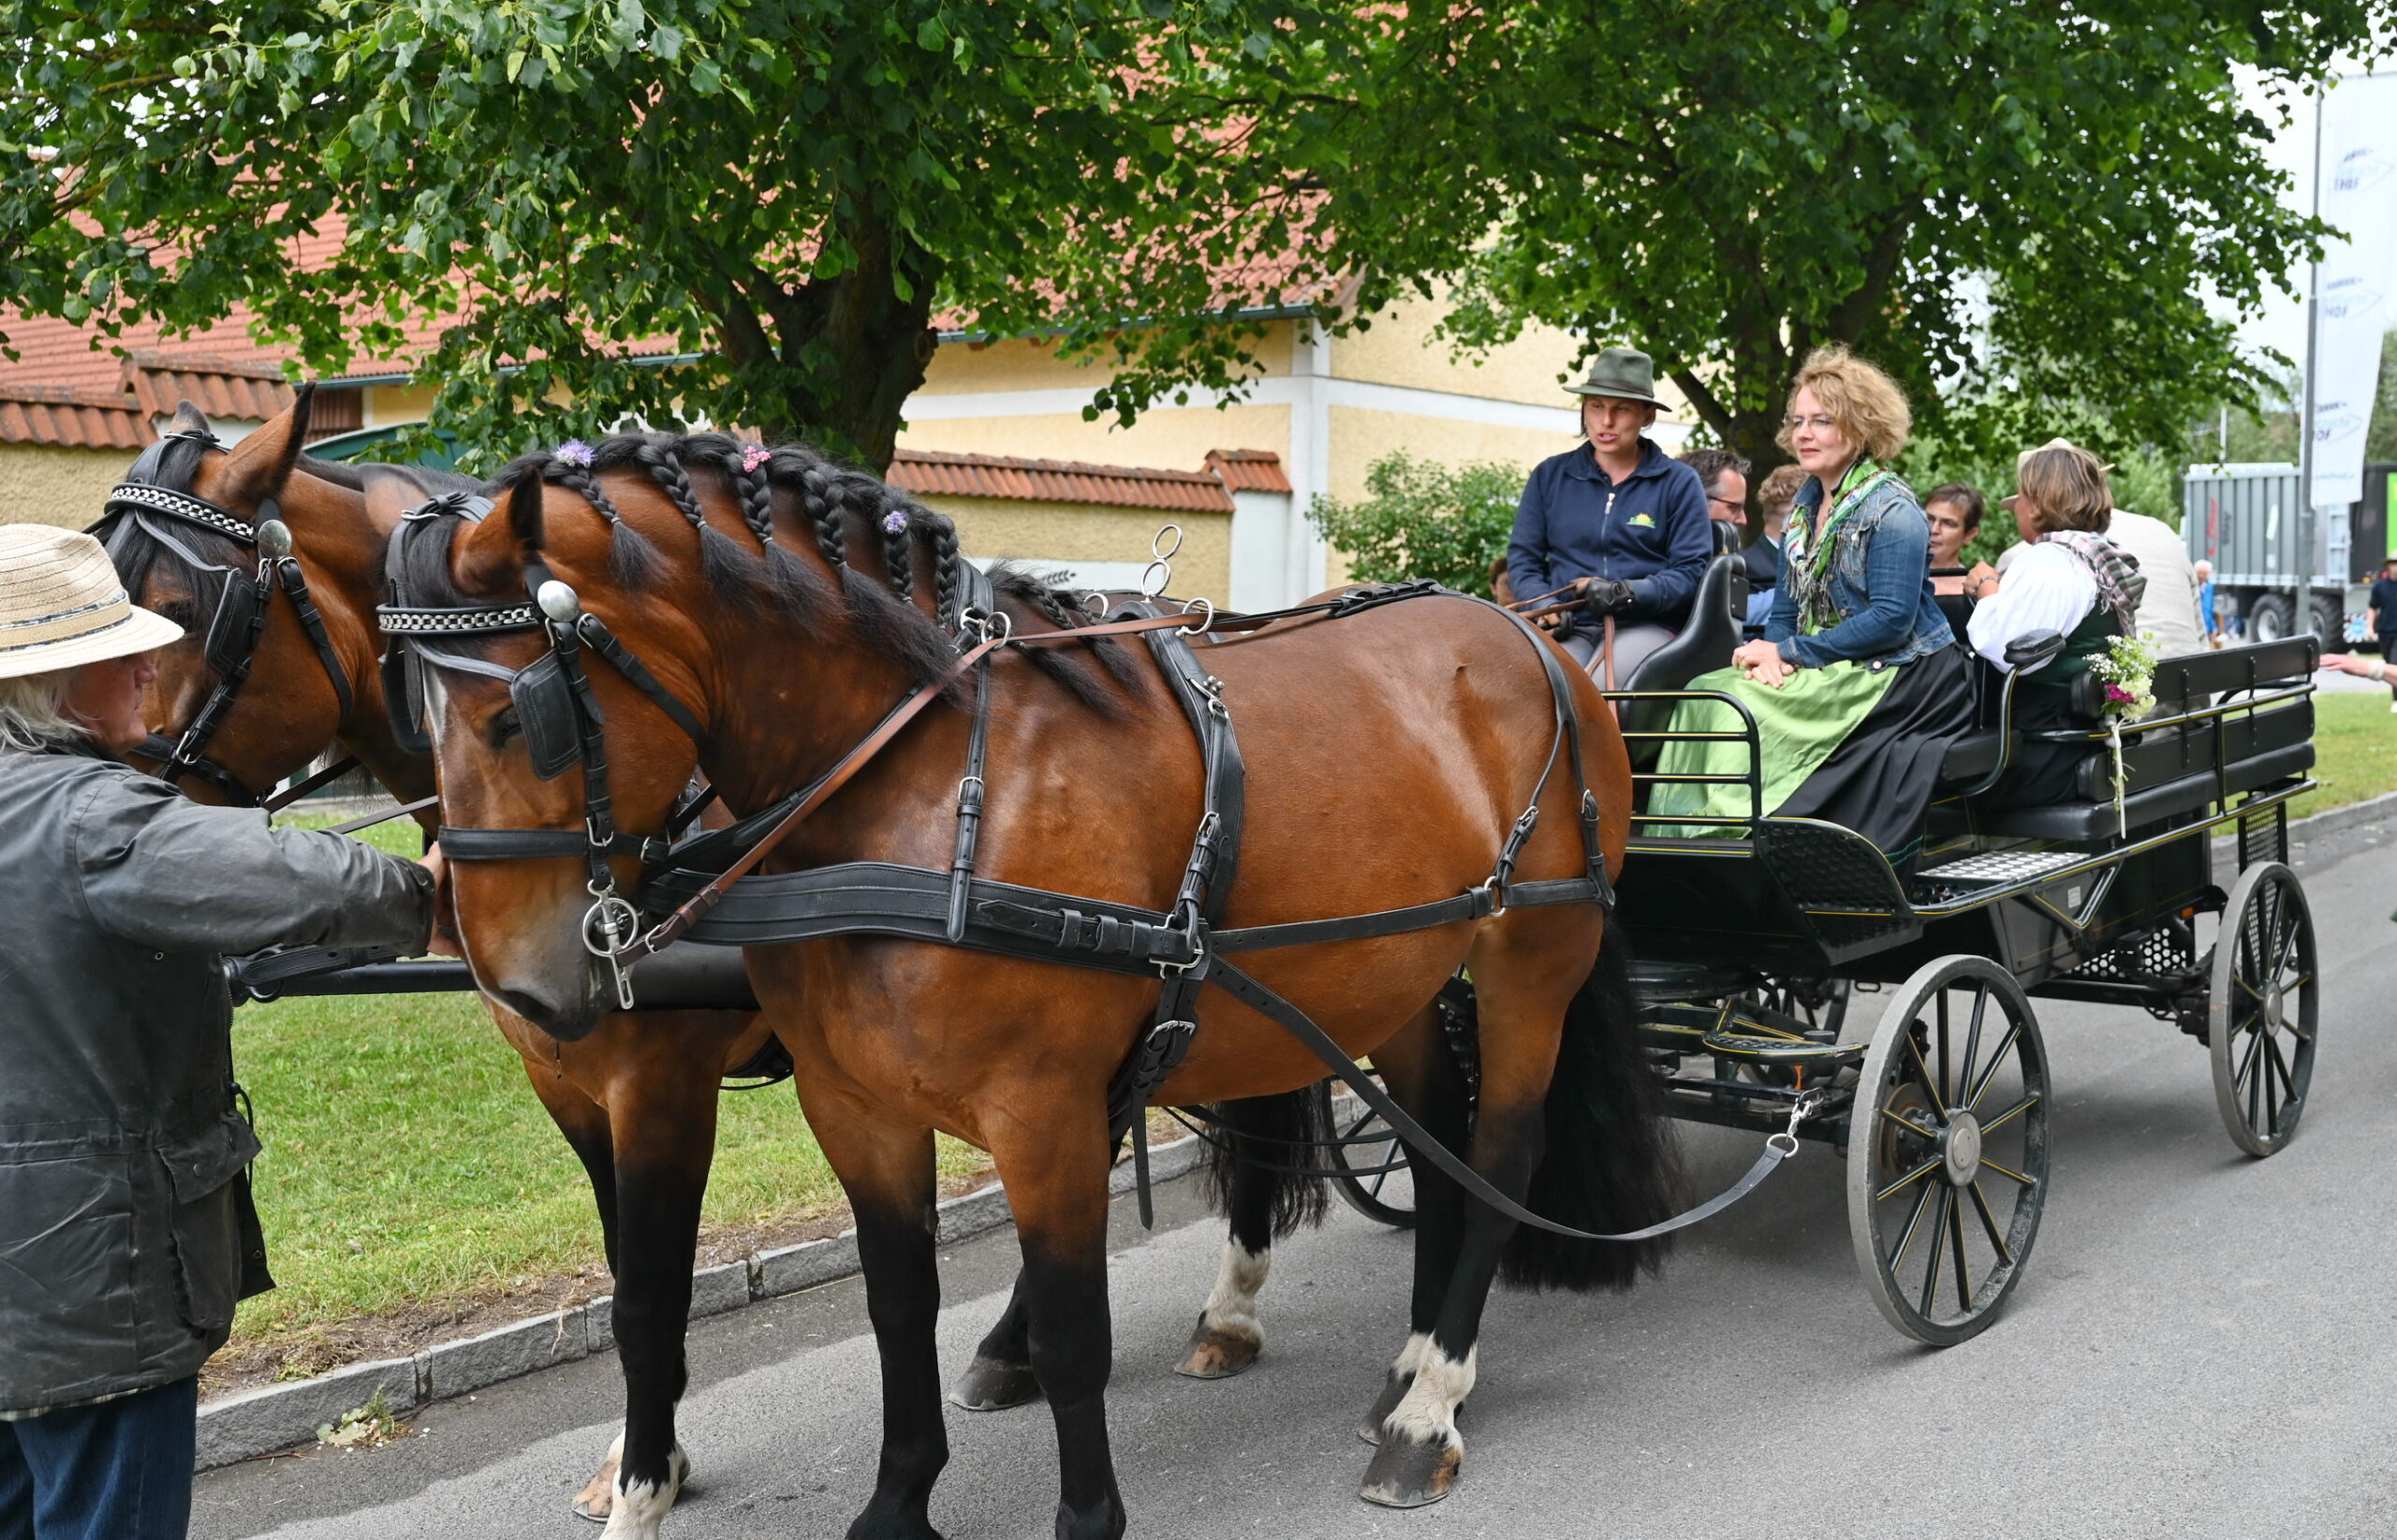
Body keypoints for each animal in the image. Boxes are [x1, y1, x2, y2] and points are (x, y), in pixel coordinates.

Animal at [108, 395, 1332, 1533]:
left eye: (184, 613)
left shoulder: (661, 1084)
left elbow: (650, 1296)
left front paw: (647, 1482)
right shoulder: (568, 1086)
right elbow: (622, 1271)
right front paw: (642, 1453)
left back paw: (1226, 1308)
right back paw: (1016, 1343)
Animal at [388, 431, 1668, 1533]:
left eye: (516, 717)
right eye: (420, 707)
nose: (522, 987)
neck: (921, 780)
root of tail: (1529, 639)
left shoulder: (1039, 1109)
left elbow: (1069, 1329)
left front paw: (1084, 1514)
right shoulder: (853, 1105)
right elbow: (896, 1305)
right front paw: (896, 1504)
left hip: (1528, 961)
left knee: (1499, 1152)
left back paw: (1428, 1408)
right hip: (1385, 973)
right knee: (1436, 1132)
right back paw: (1409, 1369)